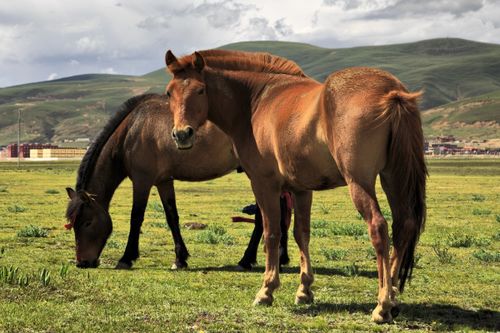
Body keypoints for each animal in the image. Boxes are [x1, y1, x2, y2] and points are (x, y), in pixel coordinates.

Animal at [63, 92, 290, 270]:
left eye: (87, 222)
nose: (82, 262)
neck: (131, 130)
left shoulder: (142, 181)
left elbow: (136, 217)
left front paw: (127, 258)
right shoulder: (164, 181)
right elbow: (172, 217)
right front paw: (180, 259)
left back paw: (247, 260)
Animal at [163, 49, 426, 322]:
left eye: (201, 89)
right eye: (169, 92)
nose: (182, 134)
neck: (256, 100)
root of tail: (391, 92)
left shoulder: (264, 184)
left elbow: (271, 233)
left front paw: (266, 290)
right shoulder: (301, 190)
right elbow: (302, 234)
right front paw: (304, 290)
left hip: (360, 182)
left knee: (378, 227)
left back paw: (382, 304)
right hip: (392, 178)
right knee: (403, 226)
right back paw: (393, 297)